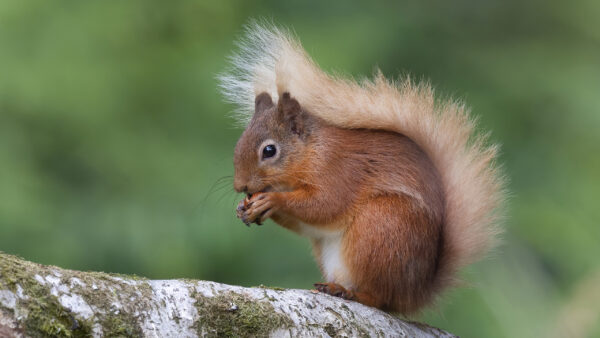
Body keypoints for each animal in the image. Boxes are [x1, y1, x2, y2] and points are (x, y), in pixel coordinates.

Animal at [218, 23, 504, 314]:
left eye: (269, 151)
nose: (240, 186)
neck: (310, 153)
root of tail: (415, 293)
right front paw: (244, 208)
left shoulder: (340, 170)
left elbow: (325, 204)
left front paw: (272, 200)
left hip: (381, 227)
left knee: (379, 297)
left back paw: (350, 293)